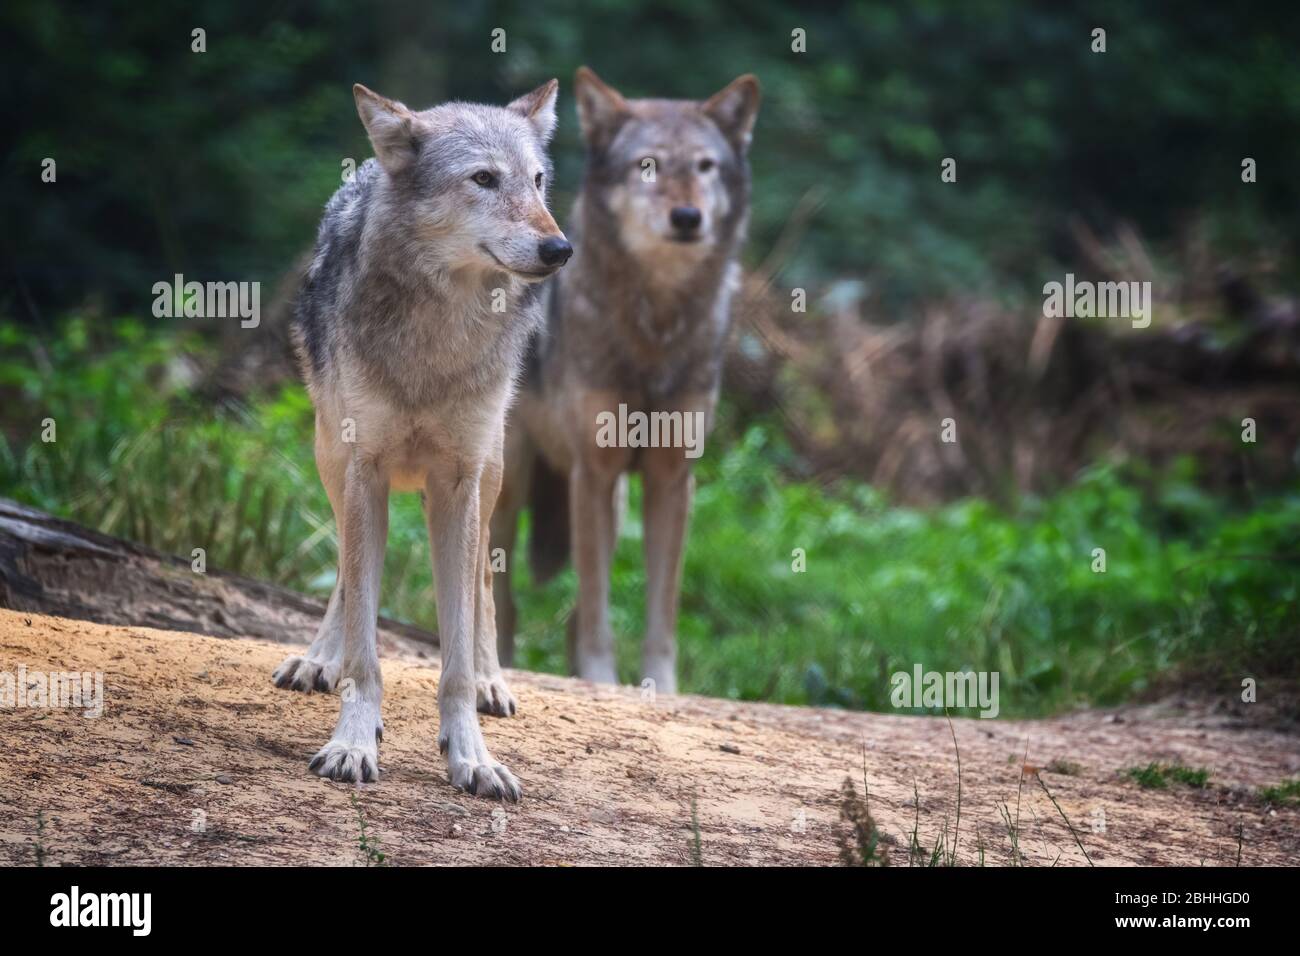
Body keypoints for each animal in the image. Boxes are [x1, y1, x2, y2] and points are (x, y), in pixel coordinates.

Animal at [271, 80, 572, 802]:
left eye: (538, 181)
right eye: (484, 179)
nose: (560, 249)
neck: (439, 334)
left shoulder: (459, 481)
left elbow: (456, 652)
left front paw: (472, 756)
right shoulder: (366, 472)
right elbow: (364, 640)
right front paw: (353, 741)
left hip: (490, 473)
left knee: (484, 583)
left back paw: (494, 681)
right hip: (331, 457)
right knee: (346, 576)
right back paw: (317, 660)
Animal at [492, 67, 760, 694]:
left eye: (705, 166)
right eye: (647, 165)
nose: (687, 217)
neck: (655, 329)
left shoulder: (669, 478)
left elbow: (660, 607)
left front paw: (659, 688)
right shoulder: (594, 471)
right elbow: (594, 604)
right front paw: (600, 677)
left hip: (608, 503)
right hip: (512, 483)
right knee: (499, 593)